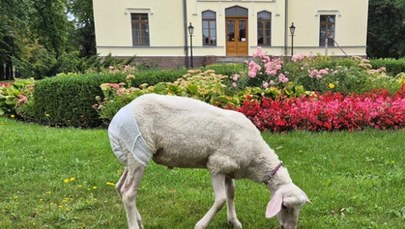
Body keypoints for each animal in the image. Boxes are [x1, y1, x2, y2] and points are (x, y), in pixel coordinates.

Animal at [107, 93, 310, 229]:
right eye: (285, 206)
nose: (290, 228)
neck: (257, 156)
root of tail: (115, 122)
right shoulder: (217, 164)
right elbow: (220, 199)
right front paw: (201, 225)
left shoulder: (229, 167)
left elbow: (231, 193)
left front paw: (234, 221)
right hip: (138, 149)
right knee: (128, 193)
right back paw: (134, 224)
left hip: (131, 153)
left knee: (120, 187)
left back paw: (139, 220)